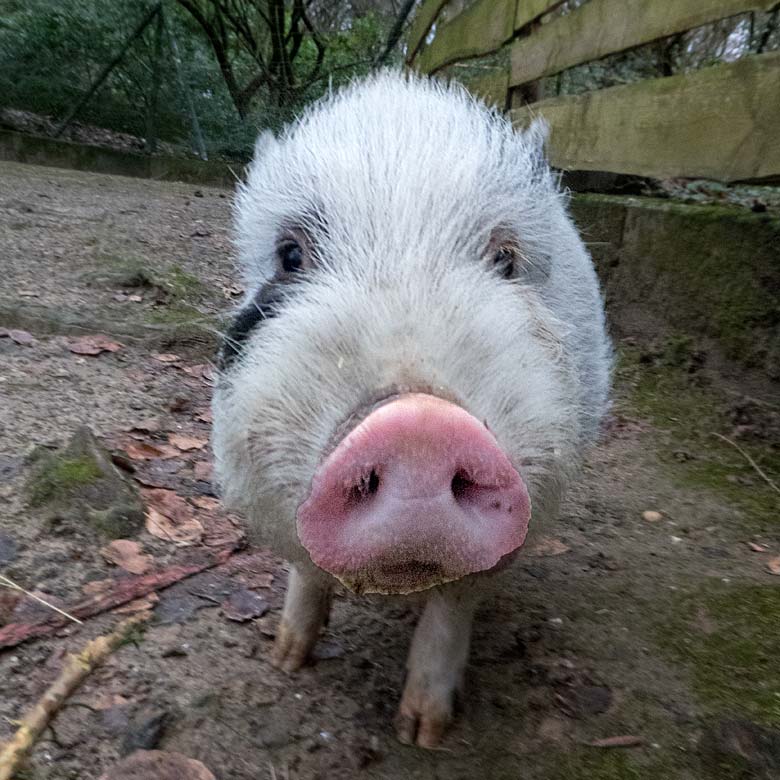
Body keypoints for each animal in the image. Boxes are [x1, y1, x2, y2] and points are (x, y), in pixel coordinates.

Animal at [210, 70, 612, 748]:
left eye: (506, 259)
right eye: (291, 255)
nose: (419, 425)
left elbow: (453, 606)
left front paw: (422, 733)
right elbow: (306, 571)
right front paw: (285, 660)